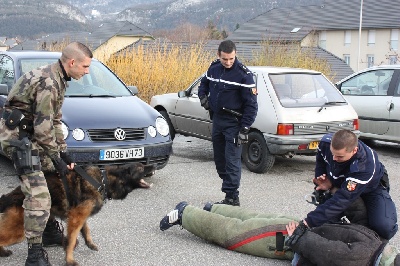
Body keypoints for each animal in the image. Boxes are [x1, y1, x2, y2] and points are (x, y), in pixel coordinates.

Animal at [0, 162, 155, 266]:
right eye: (141, 168)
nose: (153, 166)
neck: (103, 182)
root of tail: (11, 195)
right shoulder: (76, 218)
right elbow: (72, 239)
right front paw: (69, 260)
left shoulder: (81, 216)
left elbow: (86, 230)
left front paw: (89, 243)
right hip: (19, 231)